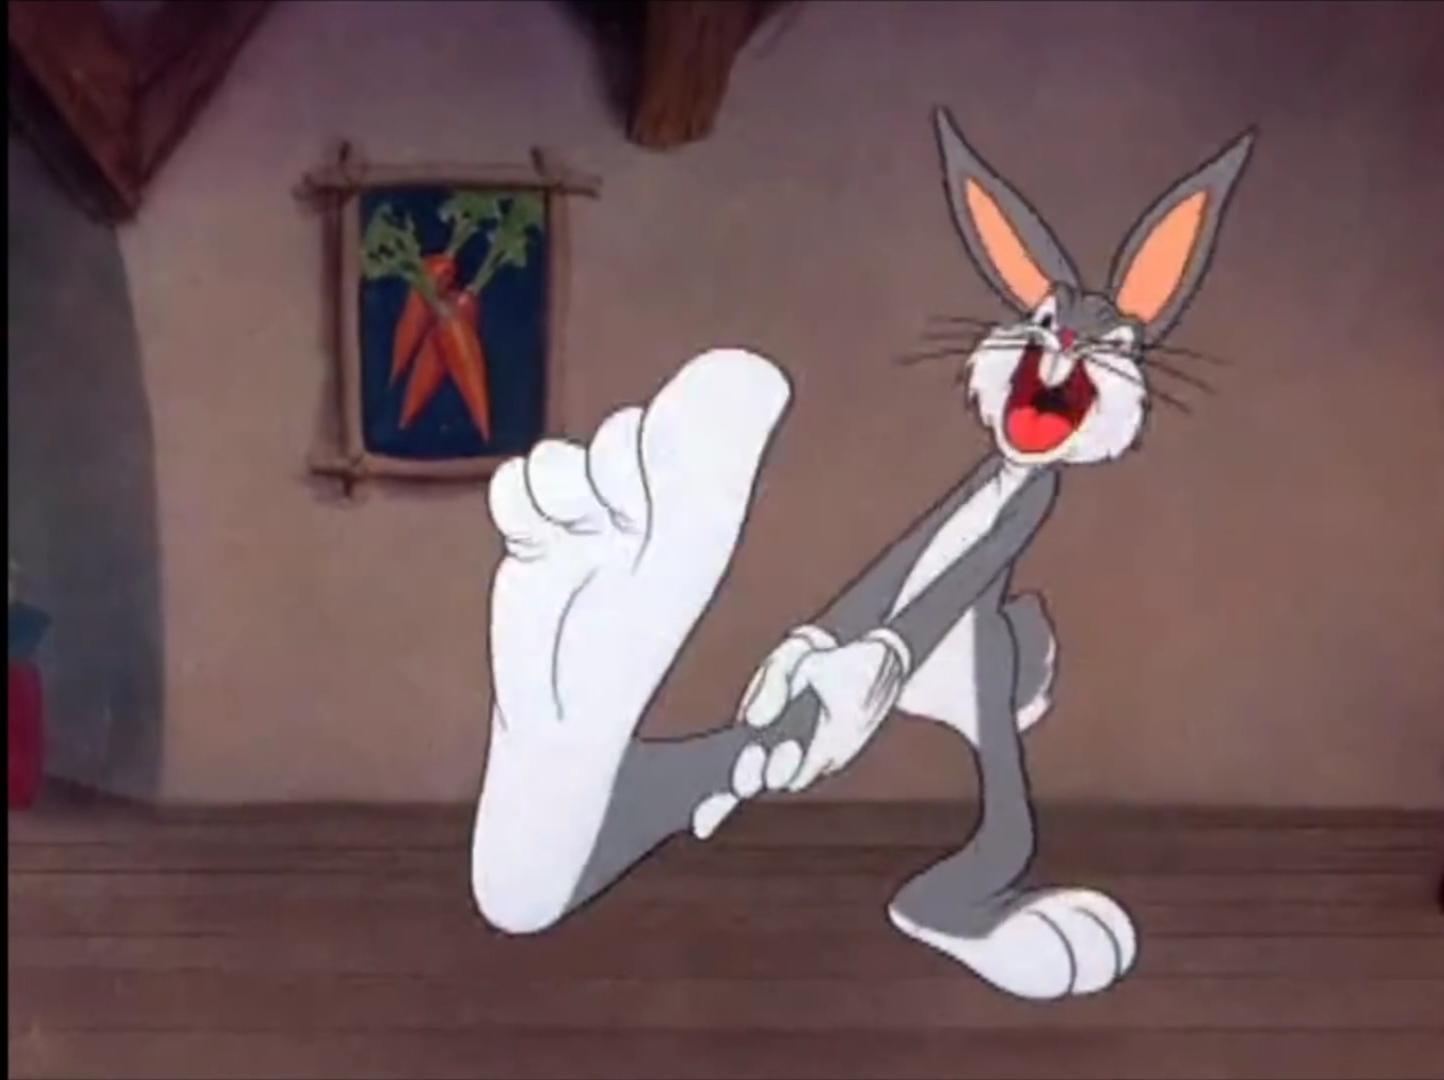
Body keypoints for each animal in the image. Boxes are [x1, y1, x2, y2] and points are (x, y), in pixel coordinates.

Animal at [470, 107, 1254, 1001]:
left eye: (1118, 336)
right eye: (1042, 312)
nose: (1067, 335)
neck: (1008, 470)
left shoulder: (1027, 505)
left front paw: (848, 692)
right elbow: (864, 599)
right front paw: (798, 668)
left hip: (986, 712)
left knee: (964, 864)